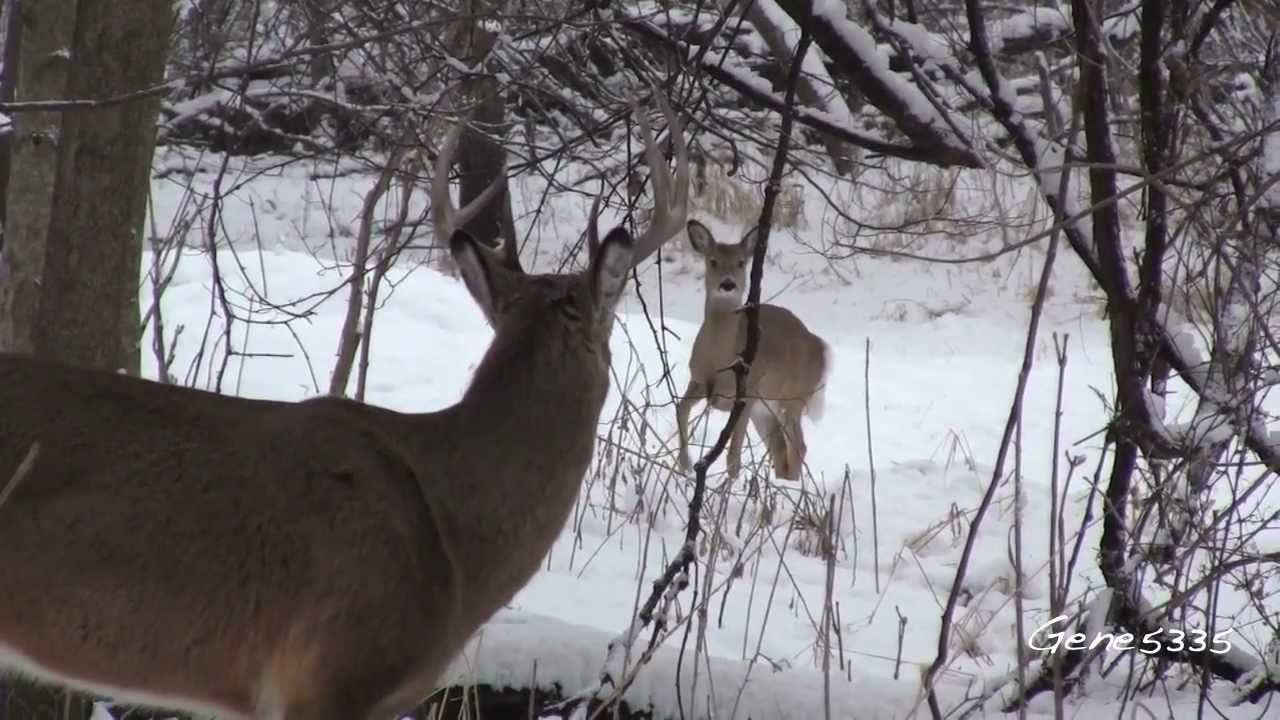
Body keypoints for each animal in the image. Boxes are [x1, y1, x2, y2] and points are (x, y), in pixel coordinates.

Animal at [675, 220, 829, 482]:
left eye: (741, 262)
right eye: (712, 260)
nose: (727, 284)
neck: (719, 361)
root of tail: (820, 347)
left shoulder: (745, 395)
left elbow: (733, 455)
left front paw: (729, 484)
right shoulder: (697, 380)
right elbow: (680, 409)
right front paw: (684, 464)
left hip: (793, 397)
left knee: (798, 444)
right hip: (766, 407)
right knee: (780, 446)